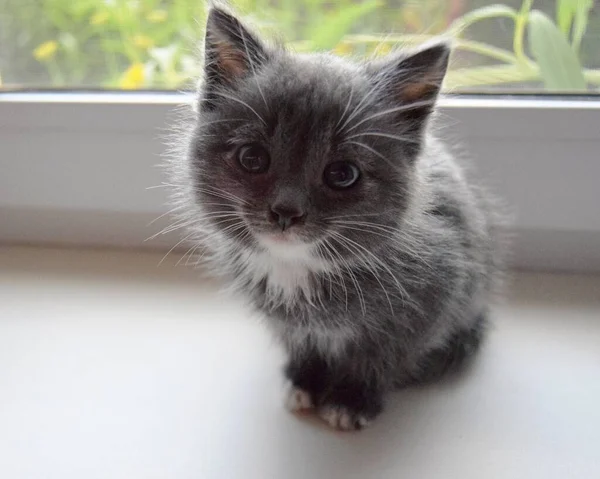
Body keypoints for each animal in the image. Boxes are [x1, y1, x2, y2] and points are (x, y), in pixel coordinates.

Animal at [166, 4, 504, 432]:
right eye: (252, 157)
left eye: (342, 174)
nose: (286, 211)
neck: (299, 269)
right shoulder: (286, 322)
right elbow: (302, 344)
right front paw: (304, 381)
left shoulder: (434, 299)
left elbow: (383, 355)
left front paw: (351, 398)